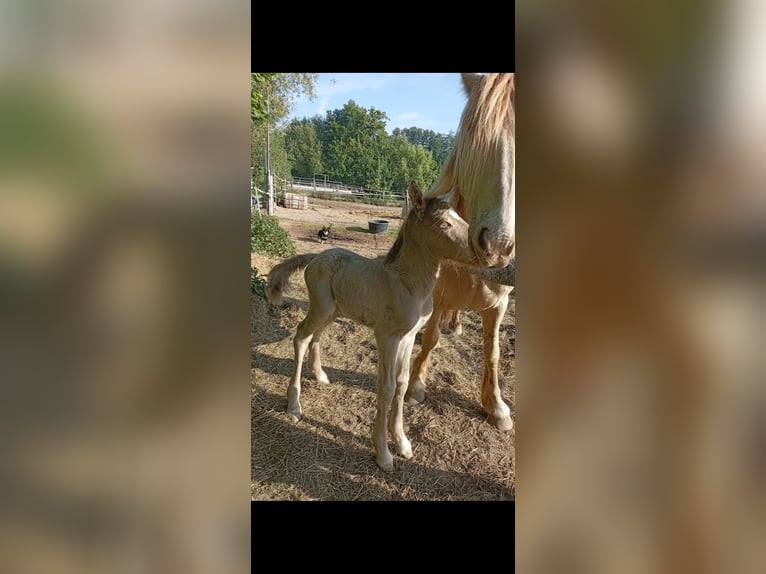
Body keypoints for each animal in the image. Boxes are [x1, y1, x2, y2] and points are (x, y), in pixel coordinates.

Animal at [266, 182, 478, 472]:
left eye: (461, 218)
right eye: (444, 224)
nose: (483, 249)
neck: (406, 283)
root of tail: (317, 256)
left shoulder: (408, 336)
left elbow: (401, 383)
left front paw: (402, 442)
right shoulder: (386, 336)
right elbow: (386, 387)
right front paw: (383, 453)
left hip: (334, 310)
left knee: (315, 336)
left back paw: (319, 375)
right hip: (321, 308)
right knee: (301, 336)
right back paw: (294, 405)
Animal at [408, 73, 516, 431]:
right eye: (474, 141)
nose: (496, 246)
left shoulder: (499, 306)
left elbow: (493, 352)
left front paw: (496, 406)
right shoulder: (437, 296)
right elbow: (430, 338)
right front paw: (416, 384)